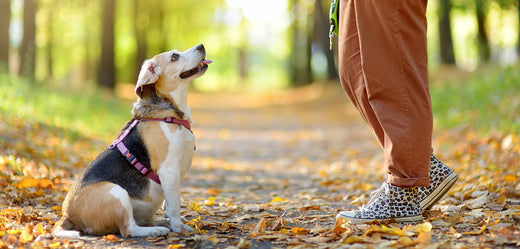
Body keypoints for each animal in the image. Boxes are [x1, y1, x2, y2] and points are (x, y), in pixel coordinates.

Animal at [53, 43, 211, 238]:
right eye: (174, 57)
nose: (201, 46)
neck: (169, 114)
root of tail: (67, 215)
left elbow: (170, 202)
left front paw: (175, 222)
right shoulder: (169, 170)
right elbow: (175, 204)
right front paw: (179, 227)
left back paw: (160, 223)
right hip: (116, 191)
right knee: (129, 229)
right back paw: (156, 230)